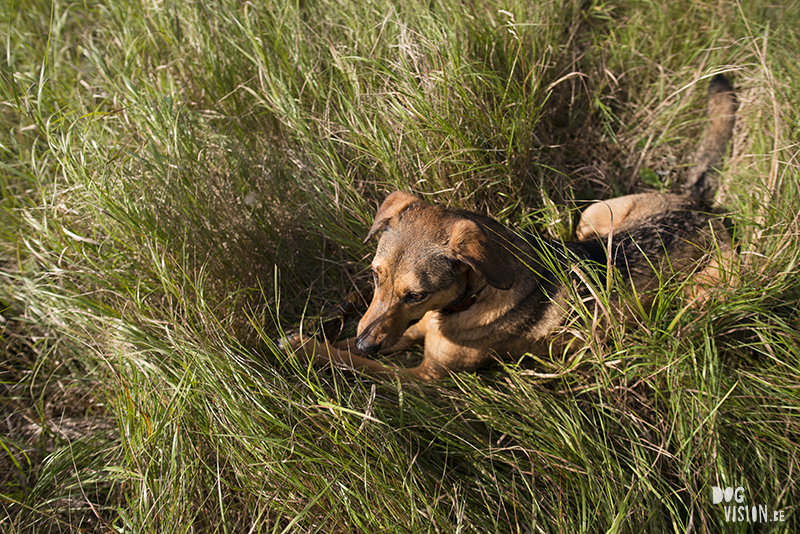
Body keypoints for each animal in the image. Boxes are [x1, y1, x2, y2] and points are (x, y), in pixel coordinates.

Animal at [286, 74, 736, 382]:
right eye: (375, 276)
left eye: (417, 294)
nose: (367, 340)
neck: (467, 298)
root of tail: (696, 204)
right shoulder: (408, 331)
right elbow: (353, 345)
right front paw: (307, 338)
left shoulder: (423, 377)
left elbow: (353, 361)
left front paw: (310, 351)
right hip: (593, 216)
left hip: (708, 291)